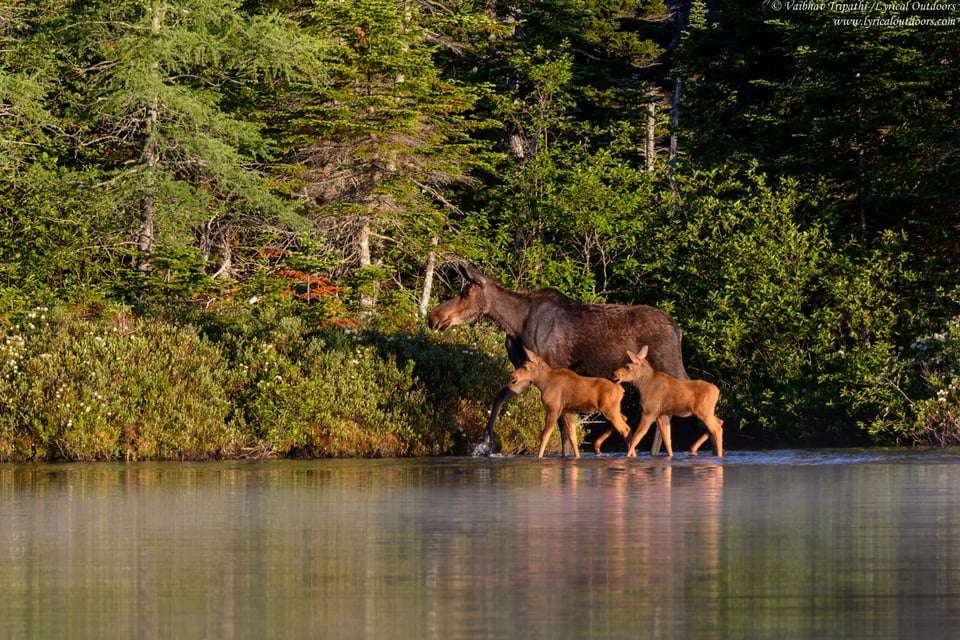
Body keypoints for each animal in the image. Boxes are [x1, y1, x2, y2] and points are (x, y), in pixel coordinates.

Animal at [430, 264, 688, 456]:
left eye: (465, 294)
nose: (434, 317)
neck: (514, 325)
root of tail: (678, 330)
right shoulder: (524, 374)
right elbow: (499, 399)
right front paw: (485, 442)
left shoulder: (553, 370)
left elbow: (563, 424)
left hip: (670, 364)